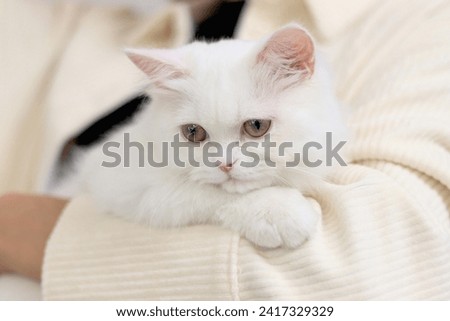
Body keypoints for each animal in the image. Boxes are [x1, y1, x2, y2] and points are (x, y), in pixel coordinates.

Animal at [57, 23, 344, 248]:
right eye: (193, 132)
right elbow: (209, 193)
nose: (224, 164)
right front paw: (276, 210)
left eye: (257, 126)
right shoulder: (120, 183)